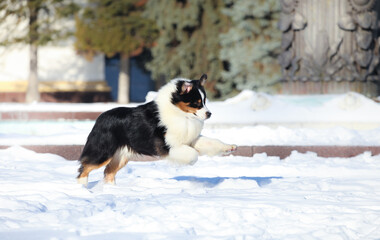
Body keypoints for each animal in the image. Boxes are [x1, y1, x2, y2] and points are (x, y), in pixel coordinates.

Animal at [76, 73, 238, 186]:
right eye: (196, 103)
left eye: (204, 101)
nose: (209, 114)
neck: (181, 114)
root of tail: (99, 119)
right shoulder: (168, 146)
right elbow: (192, 154)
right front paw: (190, 162)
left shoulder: (190, 139)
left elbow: (211, 142)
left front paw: (229, 147)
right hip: (103, 152)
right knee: (84, 168)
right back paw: (82, 188)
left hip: (121, 156)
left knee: (108, 172)